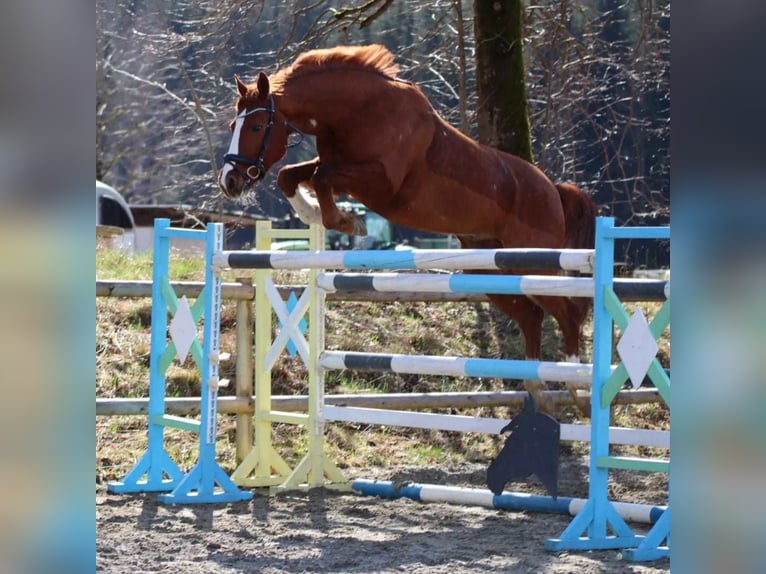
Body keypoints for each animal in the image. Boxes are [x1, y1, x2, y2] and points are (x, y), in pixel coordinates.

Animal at [218, 45, 600, 384]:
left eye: (255, 128)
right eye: (232, 126)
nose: (229, 181)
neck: (358, 111)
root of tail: (554, 191)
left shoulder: (381, 184)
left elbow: (321, 177)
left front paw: (346, 222)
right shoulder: (341, 168)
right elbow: (293, 174)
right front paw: (310, 210)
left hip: (535, 263)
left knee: (568, 313)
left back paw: (575, 379)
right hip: (490, 268)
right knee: (532, 316)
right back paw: (537, 384)